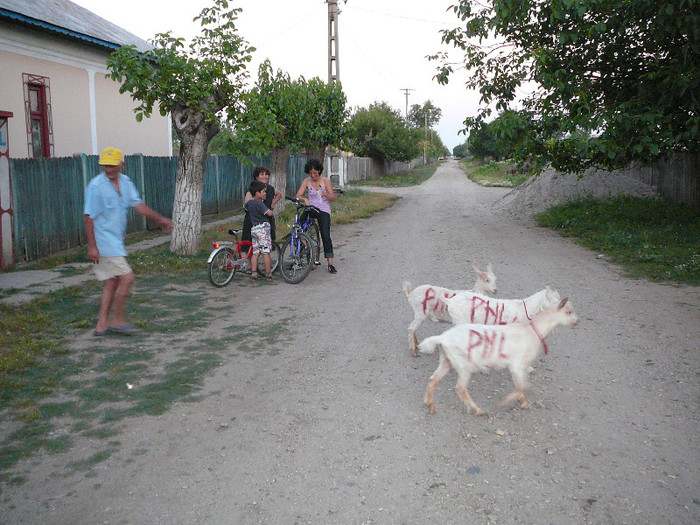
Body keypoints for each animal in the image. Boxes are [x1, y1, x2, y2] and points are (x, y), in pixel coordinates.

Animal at [418, 296, 576, 416]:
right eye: (568, 311)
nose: (577, 321)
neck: (532, 331)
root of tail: (442, 338)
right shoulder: (517, 366)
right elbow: (524, 386)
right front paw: (505, 404)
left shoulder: (520, 368)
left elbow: (521, 386)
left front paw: (523, 402)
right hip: (463, 364)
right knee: (460, 388)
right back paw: (477, 410)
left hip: (447, 360)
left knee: (433, 380)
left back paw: (430, 405)